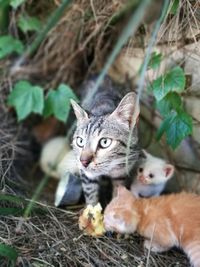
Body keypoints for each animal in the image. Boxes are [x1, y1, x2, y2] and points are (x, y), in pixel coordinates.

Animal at [70, 75, 141, 205]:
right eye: (80, 141)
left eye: (104, 142)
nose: (83, 161)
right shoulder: (87, 176)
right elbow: (90, 193)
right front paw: (91, 209)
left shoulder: (122, 171)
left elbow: (118, 191)